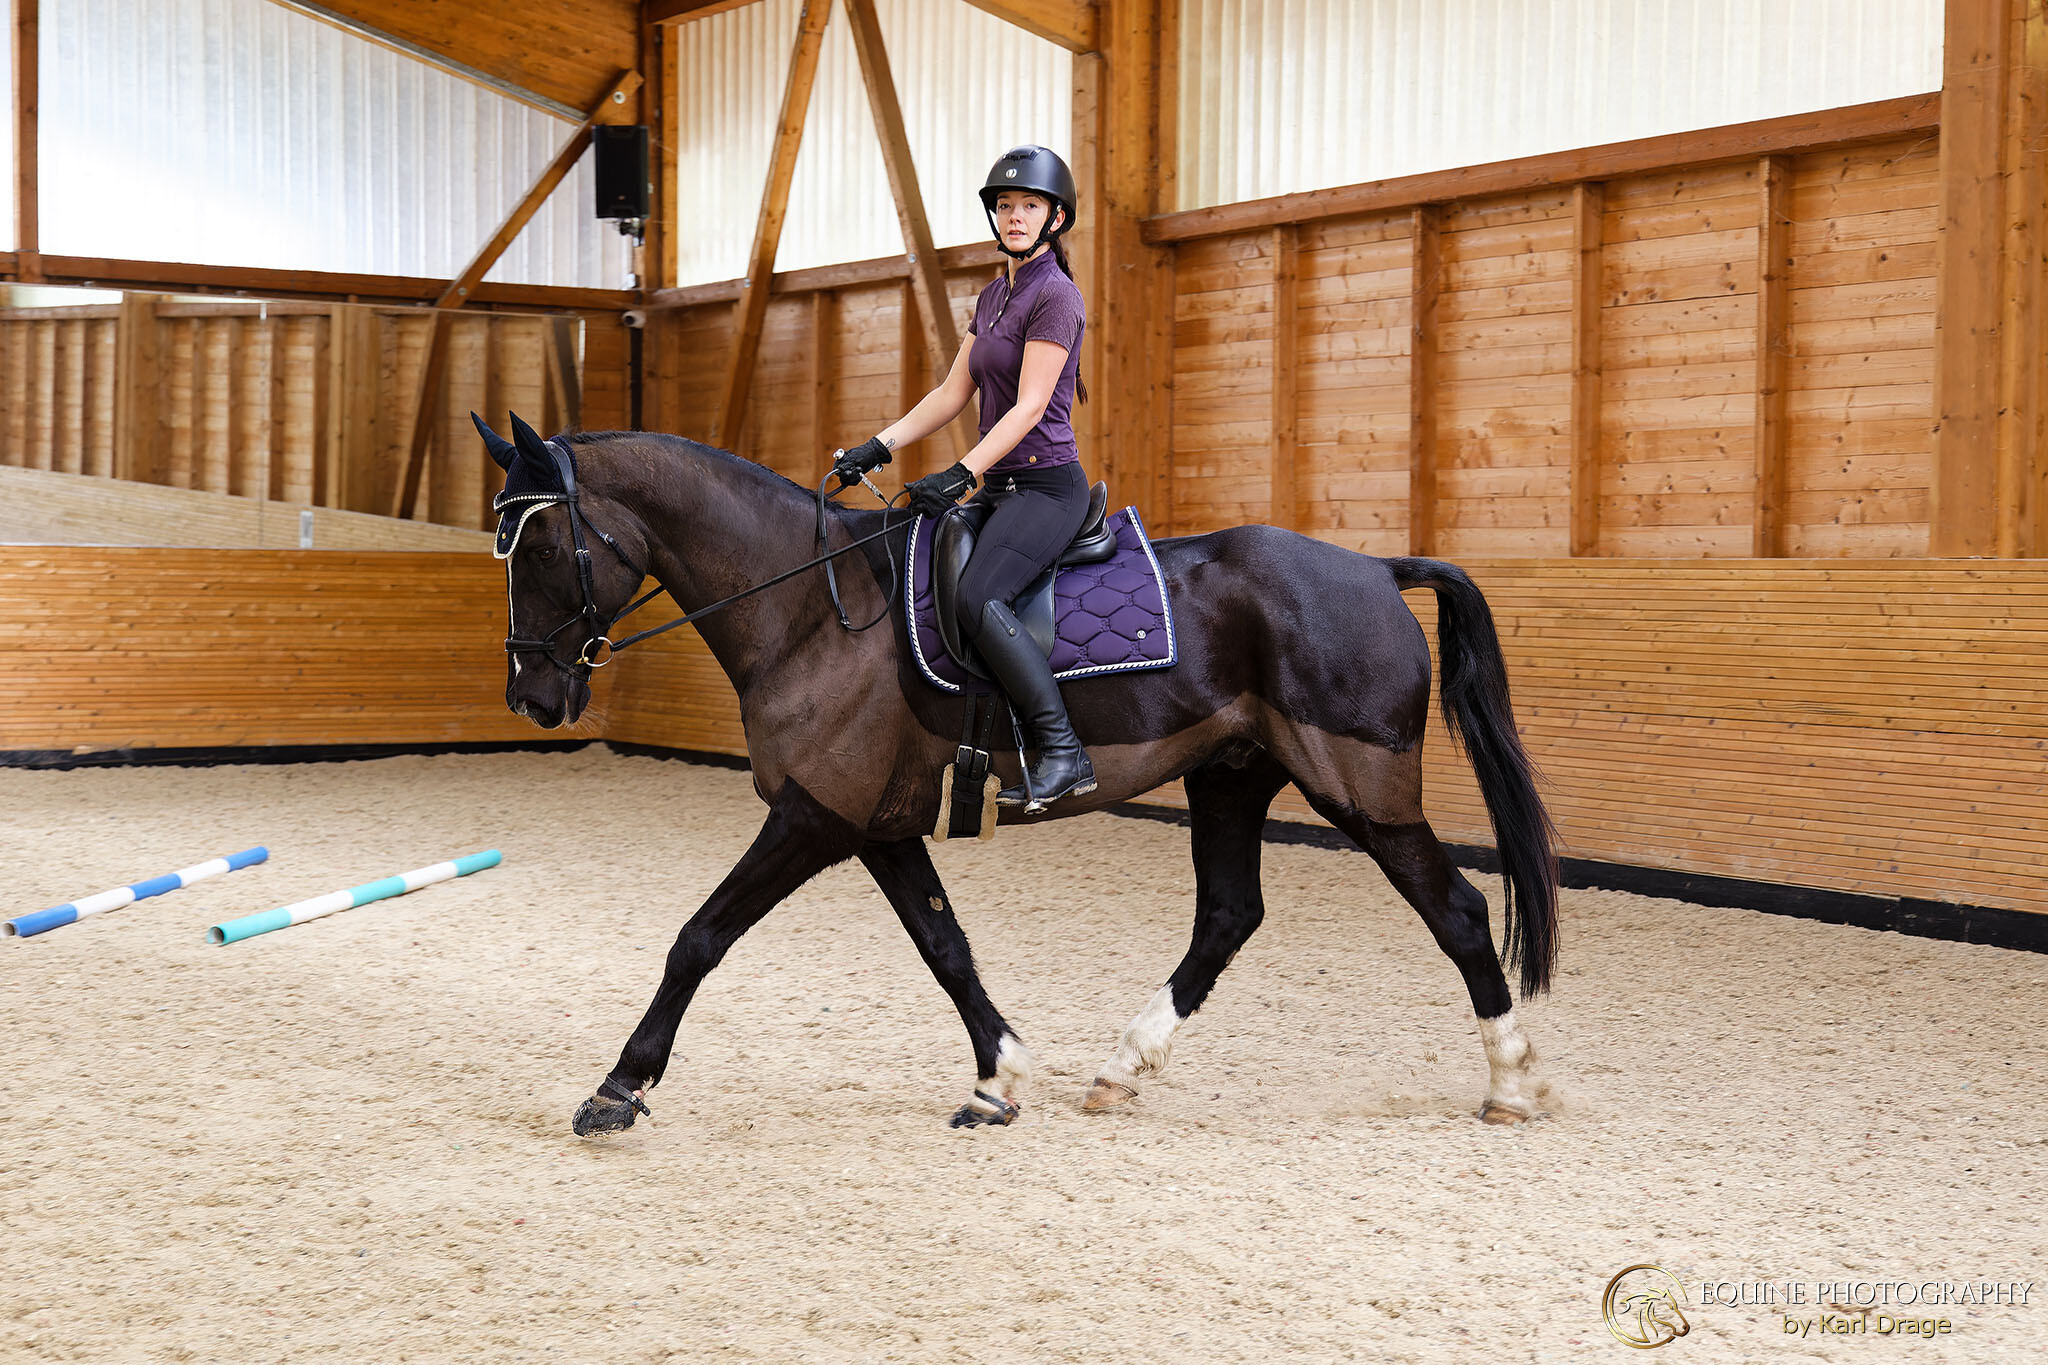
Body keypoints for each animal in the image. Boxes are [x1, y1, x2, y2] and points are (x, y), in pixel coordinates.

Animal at [479, 413, 1556, 1129]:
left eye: (542, 544)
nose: (530, 696)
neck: (812, 609)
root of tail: (1376, 569)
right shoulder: (876, 826)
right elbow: (945, 949)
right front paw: (997, 1077)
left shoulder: (813, 819)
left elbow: (697, 938)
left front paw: (619, 1086)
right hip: (1232, 773)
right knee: (1227, 916)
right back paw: (1121, 1067)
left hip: (1361, 791)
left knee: (1457, 912)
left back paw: (1509, 1081)